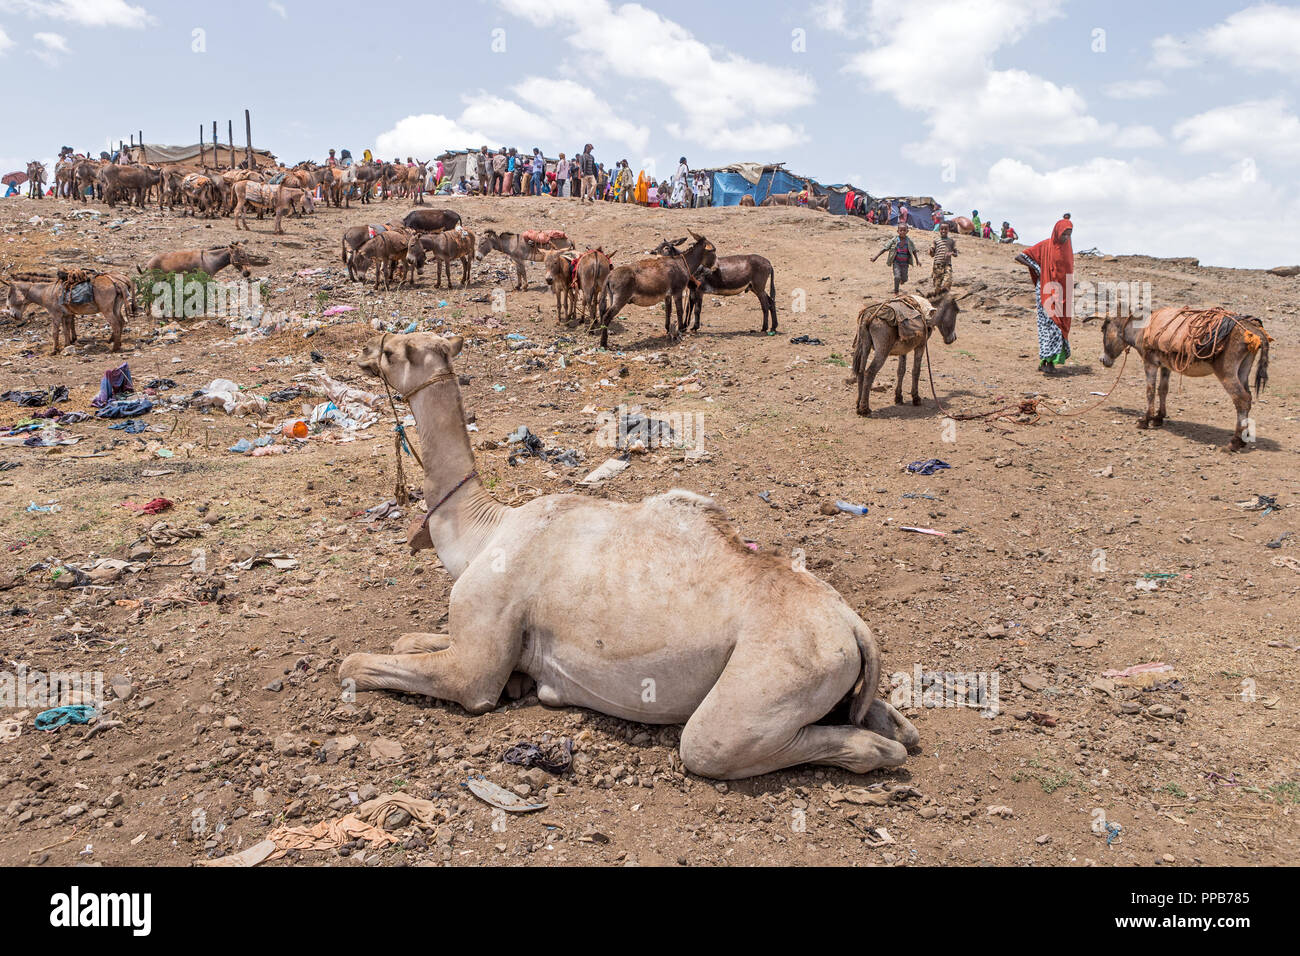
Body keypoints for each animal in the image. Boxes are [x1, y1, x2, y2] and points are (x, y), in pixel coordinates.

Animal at [337, 332, 919, 779]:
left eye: (394, 349)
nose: (362, 349)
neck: (484, 533)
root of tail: (852, 625)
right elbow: (409, 640)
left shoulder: (475, 667)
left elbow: (360, 663)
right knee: (884, 717)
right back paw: (896, 724)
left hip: (774, 675)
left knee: (714, 744)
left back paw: (878, 751)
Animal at [1099, 307, 1270, 450]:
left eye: (1103, 329)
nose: (1102, 360)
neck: (1141, 329)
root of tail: (1254, 330)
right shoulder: (1165, 366)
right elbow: (1163, 390)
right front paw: (1158, 418)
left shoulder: (1149, 364)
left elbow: (1150, 391)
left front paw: (1145, 420)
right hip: (1243, 370)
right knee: (1248, 397)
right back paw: (1243, 438)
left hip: (1226, 373)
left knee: (1241, 399)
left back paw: (1234, 442)